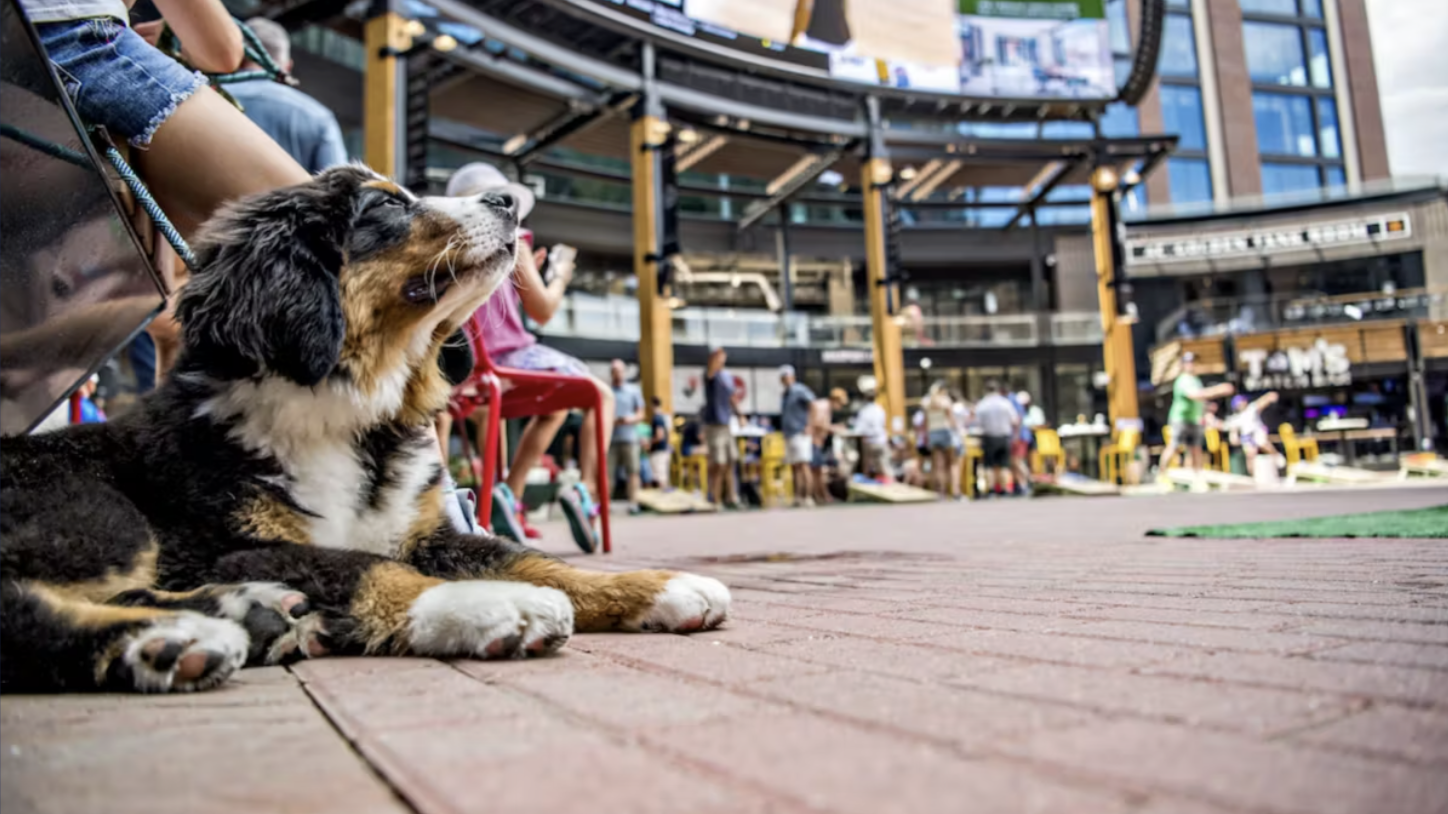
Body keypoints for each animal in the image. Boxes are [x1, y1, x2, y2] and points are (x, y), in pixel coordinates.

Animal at [0, 165, 729, 689]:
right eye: (385, 207)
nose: (509, 204)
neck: (354, 418)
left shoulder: (428, 530)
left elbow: (534, 558)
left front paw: (660, 588)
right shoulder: (222, 543)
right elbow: (365, 569)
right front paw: (490, 605)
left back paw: (250, 614)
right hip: (95, 509)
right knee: (21, 606)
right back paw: (166, 639)